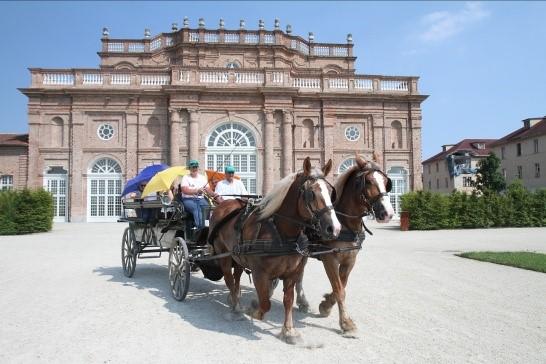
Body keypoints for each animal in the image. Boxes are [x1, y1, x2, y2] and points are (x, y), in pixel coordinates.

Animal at [206, 157, 338, 344]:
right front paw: (253, 310)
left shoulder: (291, 273)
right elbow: (265, 303)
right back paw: (237, 308)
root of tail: (223, 204)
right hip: (223, 255)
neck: (281, 231)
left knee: (236, 276)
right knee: (229, 279)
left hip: (237, 255)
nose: (334, 228)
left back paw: (234, 299)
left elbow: (288, 300)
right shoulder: (259, 273)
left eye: (331, 191)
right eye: (311, 193)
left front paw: (289, 331)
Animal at [294, 154, 392, 336]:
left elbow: (342, 286)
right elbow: (339, 289)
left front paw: (326, 304)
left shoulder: (350, 259)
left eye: (385, 181)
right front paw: (346, 322)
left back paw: (302, 301)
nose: (388, 213)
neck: (345, 223)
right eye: (368, 181)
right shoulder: (329, 259)